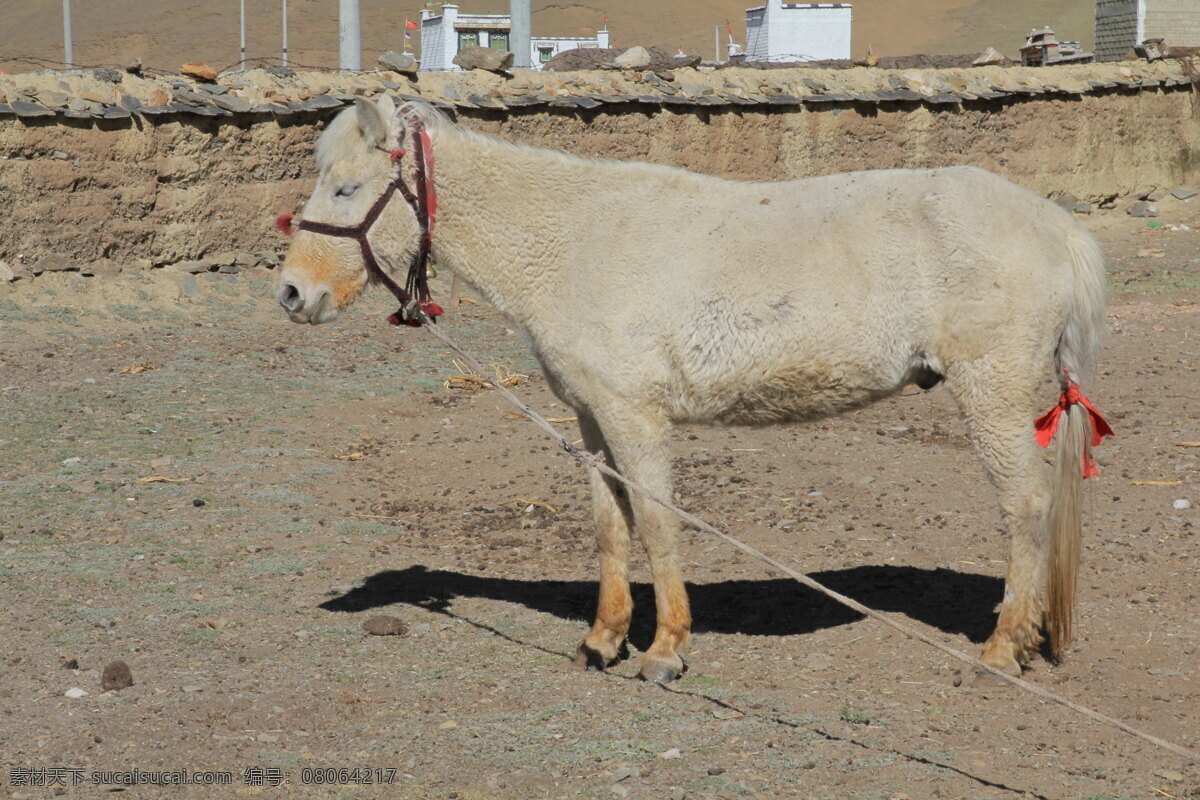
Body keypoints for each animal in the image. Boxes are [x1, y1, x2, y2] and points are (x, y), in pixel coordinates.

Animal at [275, 96, 1109, 684]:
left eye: (346, 189)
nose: (291, 293)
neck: (573, 240)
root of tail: (1055, 226)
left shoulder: (635, 416)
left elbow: (655, 522)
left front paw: (664, 649)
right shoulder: (591, 419)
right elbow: (611, 528)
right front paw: (602, 641)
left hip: (992, 395)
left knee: (1026, 508)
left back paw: (1002, 649)